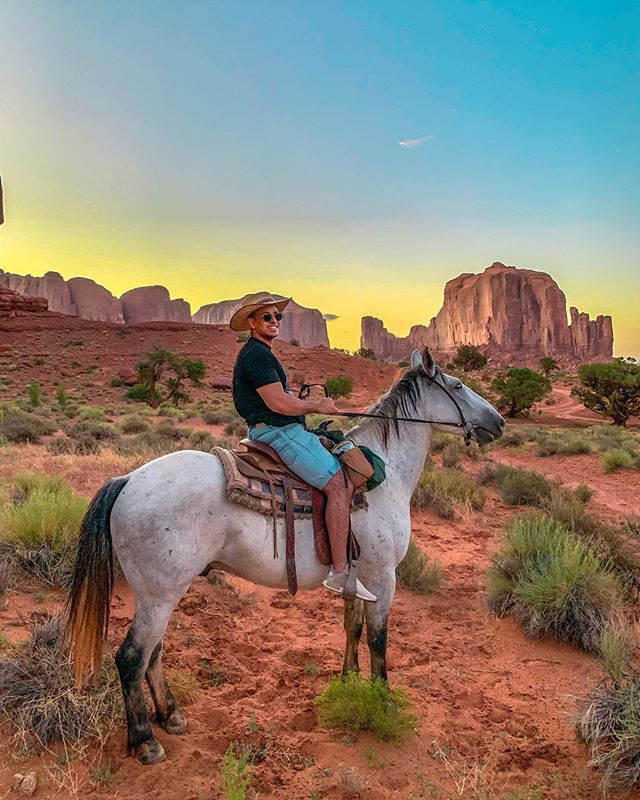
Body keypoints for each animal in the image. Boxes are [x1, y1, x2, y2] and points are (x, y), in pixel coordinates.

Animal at [66, 348, 504, 764]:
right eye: (458, 385)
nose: (498, 422)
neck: (385, 474)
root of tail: (127, 480)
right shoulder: (383, 578)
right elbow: (379, 640)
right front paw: (385, 701)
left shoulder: (358, 578)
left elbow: (352, 629)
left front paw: (348, 682)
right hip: (159, 594)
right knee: (131, 657)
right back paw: (145, 741)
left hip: (159, 594)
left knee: (152, 652)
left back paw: (171, 715)